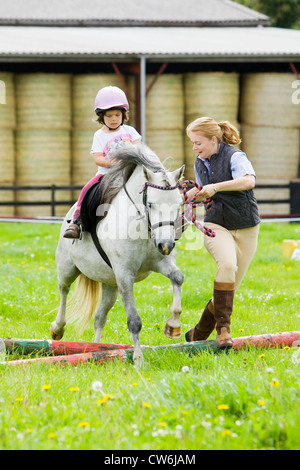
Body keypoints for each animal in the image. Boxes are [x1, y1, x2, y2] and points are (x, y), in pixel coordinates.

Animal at [50, 145, 184, 366]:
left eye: (178, 204)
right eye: (151, 204)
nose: (166, 245)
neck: (142, 226)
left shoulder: (161, 263)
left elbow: (177, 278)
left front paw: (173, 325)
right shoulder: (124, 276)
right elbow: (134, 321)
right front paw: (138, 359)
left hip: (110, 285)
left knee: (99, 317)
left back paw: (96, 349)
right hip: (68, 268)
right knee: (64, 290)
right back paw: (58, 329)